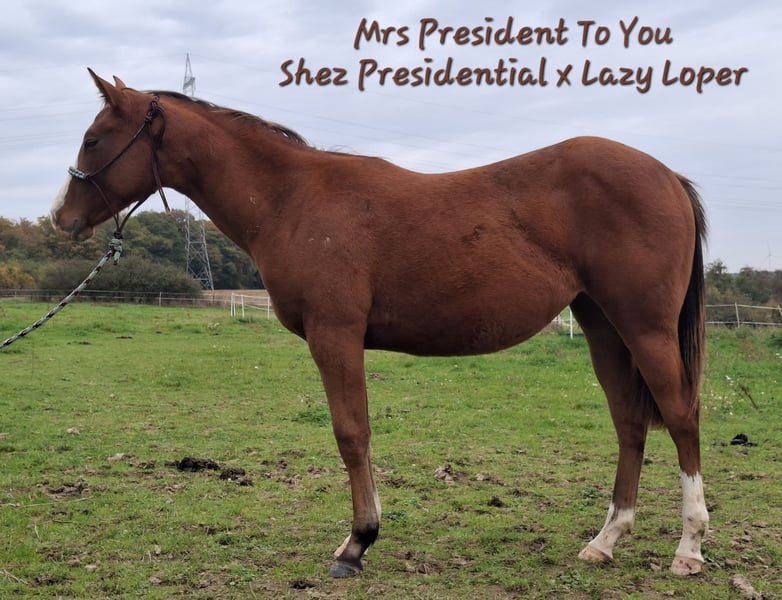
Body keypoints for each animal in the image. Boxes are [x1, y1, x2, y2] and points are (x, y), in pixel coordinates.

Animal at [51, 70, 709, 578]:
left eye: (92, 138)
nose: (62, 217)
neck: (292, 199)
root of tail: (668, 176)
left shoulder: (335, 336)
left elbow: (352, 434)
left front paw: (357, 543)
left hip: (644, 328)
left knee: (680, 416)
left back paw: (689, 547)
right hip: (603, 327)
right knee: (630, 422)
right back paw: (605, 541)